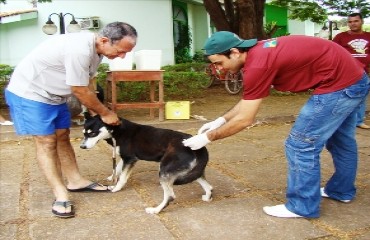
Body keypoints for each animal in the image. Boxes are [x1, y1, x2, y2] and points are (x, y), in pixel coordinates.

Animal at [80, 113, 214, 215]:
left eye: (92, 133)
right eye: (84, 133)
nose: (82, 147)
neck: (117, 130)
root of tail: (199, 148)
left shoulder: (130, 159)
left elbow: (122, 177)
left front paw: (116, 188)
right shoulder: (125, 158)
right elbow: (117, 168)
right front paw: (111, 178)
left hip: (164, 171)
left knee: (170, 196)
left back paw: (155, 210)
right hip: (192, 172)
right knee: (209, 187)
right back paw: (207, 197)